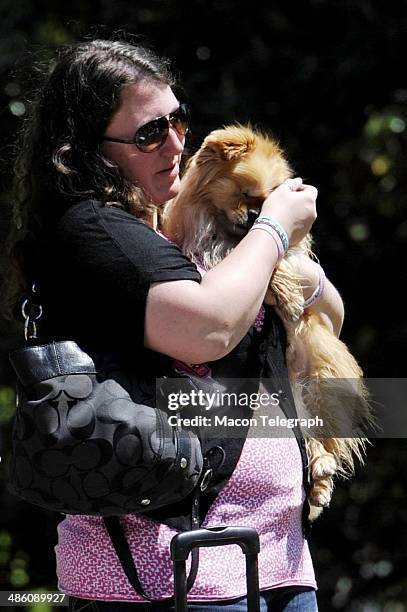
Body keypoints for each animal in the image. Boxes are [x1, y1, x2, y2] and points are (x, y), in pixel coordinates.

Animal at [162, 125, 372, 520]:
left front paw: (287, 292)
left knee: (318, 431)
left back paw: (321, 472)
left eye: (265, 201)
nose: (254, 214)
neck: (226, 232)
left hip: (319, 373)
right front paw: (283, 291)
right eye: (244, 193)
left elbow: (279, 255)